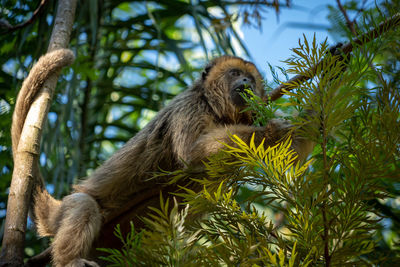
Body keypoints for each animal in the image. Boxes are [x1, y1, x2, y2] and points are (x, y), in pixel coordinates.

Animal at [10, 53, 314, 266]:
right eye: (235, 73)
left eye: (251, 78)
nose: (246, 82)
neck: (218, 111)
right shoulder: (190, 107)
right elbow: (191, 153)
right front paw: (270, 131)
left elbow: (289, 160)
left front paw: (314, 108)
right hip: (69, 212)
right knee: (84, 205)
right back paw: (70, 260)